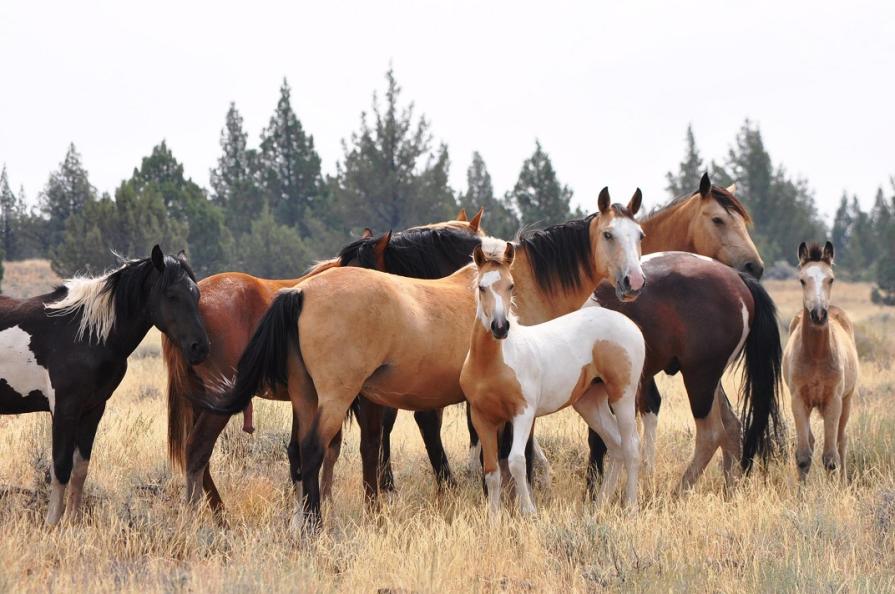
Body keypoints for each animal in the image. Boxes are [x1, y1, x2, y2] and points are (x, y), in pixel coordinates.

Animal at [0, 245, 206, 524]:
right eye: (172, 295)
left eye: (196, 294)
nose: (200, 347)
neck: (86, 334)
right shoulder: (64, 410)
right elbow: (61, 467)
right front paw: (52, 523)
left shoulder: (93, 409)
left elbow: (80, 468)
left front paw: (72, 522)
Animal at [462, 240, 644, 512]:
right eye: (482, 287)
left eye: (511, 285)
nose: (500, 327)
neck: (492, 364)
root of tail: (629, 324)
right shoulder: (482, 418)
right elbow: (492, 472)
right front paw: (493, 516)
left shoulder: (523, 413)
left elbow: (516, 462)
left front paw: (529, 512)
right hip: (590, 402)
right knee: (616, 446)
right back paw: (599, 505)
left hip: (623, 396)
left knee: (631, 446)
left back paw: (630, 506)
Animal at [784, 240, 860, 480]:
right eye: (802, 280)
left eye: (831, 279)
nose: (818, 314)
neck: (816, 356)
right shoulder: (798, 401)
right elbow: (803, 455)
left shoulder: (833, 401)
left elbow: (830, 458)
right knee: (812, 442)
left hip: (847, 400)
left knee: (841, 441)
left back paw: (844, 481)